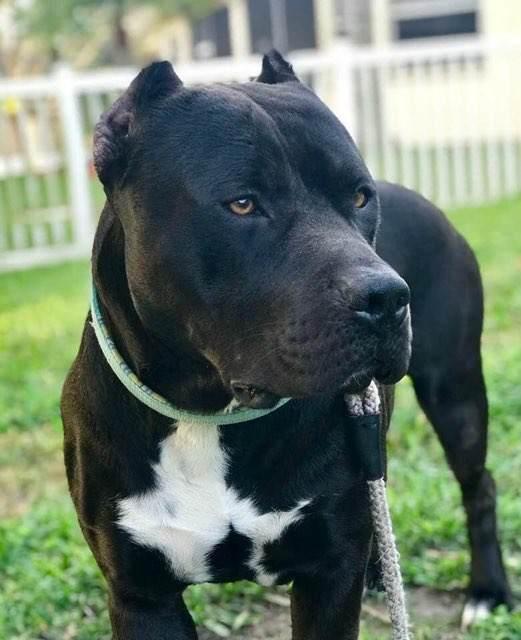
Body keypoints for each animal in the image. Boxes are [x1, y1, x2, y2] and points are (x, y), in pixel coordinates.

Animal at [61, 52, 508, 636]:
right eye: (243, 204)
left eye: (360, 197)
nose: (388, 296)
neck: (207, 414)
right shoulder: (142, 594)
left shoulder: (327, 576)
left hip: (455, 392)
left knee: (479, 487)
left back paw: (488, 591)